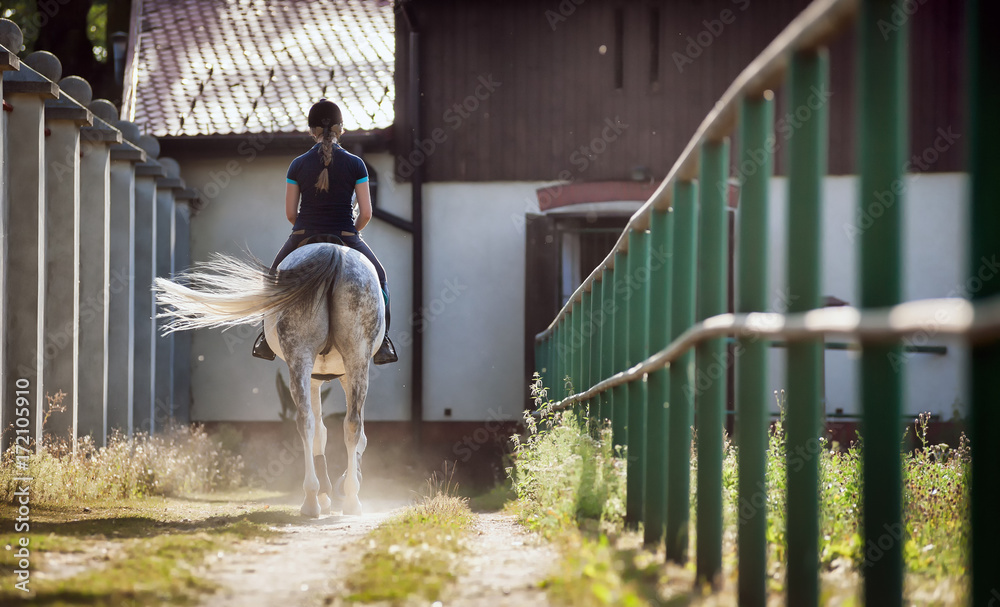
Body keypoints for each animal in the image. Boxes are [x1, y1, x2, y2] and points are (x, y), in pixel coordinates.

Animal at [156, 242, 382, 516]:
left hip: (324, 357)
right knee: (336, 424)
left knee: (319, 422)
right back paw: (335, 499)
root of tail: (334, 252)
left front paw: (334, 488)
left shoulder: (332, 375)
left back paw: (321, 498)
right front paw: (333, 489)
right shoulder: (323, 378)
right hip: (335, 357)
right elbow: (330, 432)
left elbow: (329, 431)